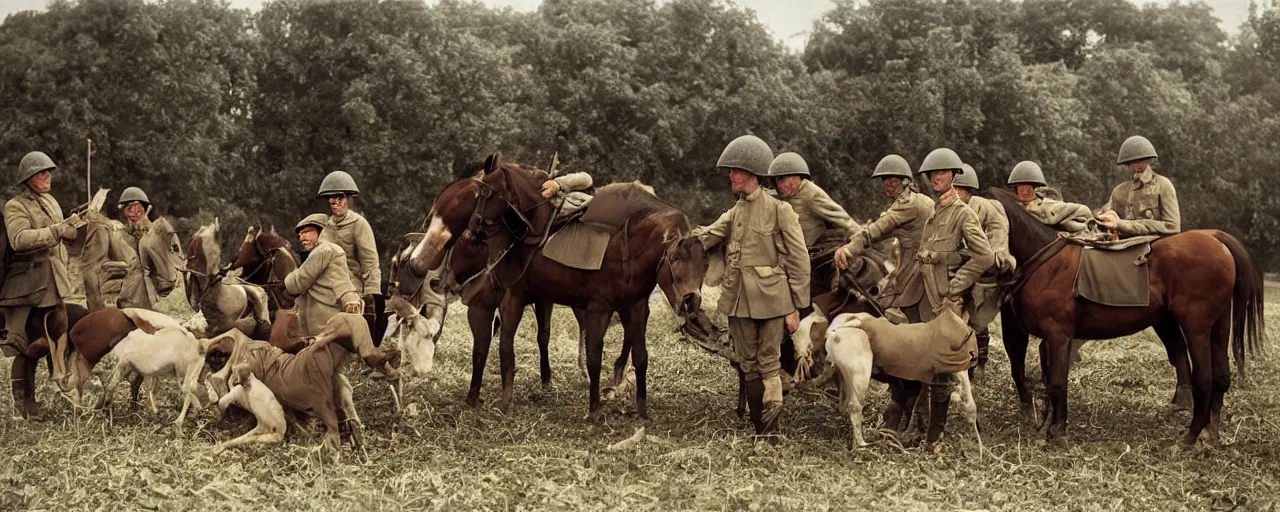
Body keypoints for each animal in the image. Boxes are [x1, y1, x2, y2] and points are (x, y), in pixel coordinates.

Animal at [417, 154, 711, 417]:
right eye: (675, 259)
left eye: (705, 263)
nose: (692, 301)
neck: (624, 247)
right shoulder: (596, 308)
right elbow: (593, 357)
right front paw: (594, 410)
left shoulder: (635, 308)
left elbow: (640, 357)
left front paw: (641, 411)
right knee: (502, 344)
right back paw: (501, 399)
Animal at [983, 186, 1264, 442]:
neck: (1045, 261)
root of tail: (1217, 240)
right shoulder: (1050, 340)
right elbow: (1049, 377)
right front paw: (1049, 423)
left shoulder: (1058, 336)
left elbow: (1057, 382)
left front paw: (1057, 432)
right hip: (1219, 324)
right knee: (1221, 376)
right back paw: (1210, 433)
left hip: (1196, 327)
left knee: (1204, 378)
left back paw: (1190, 436)